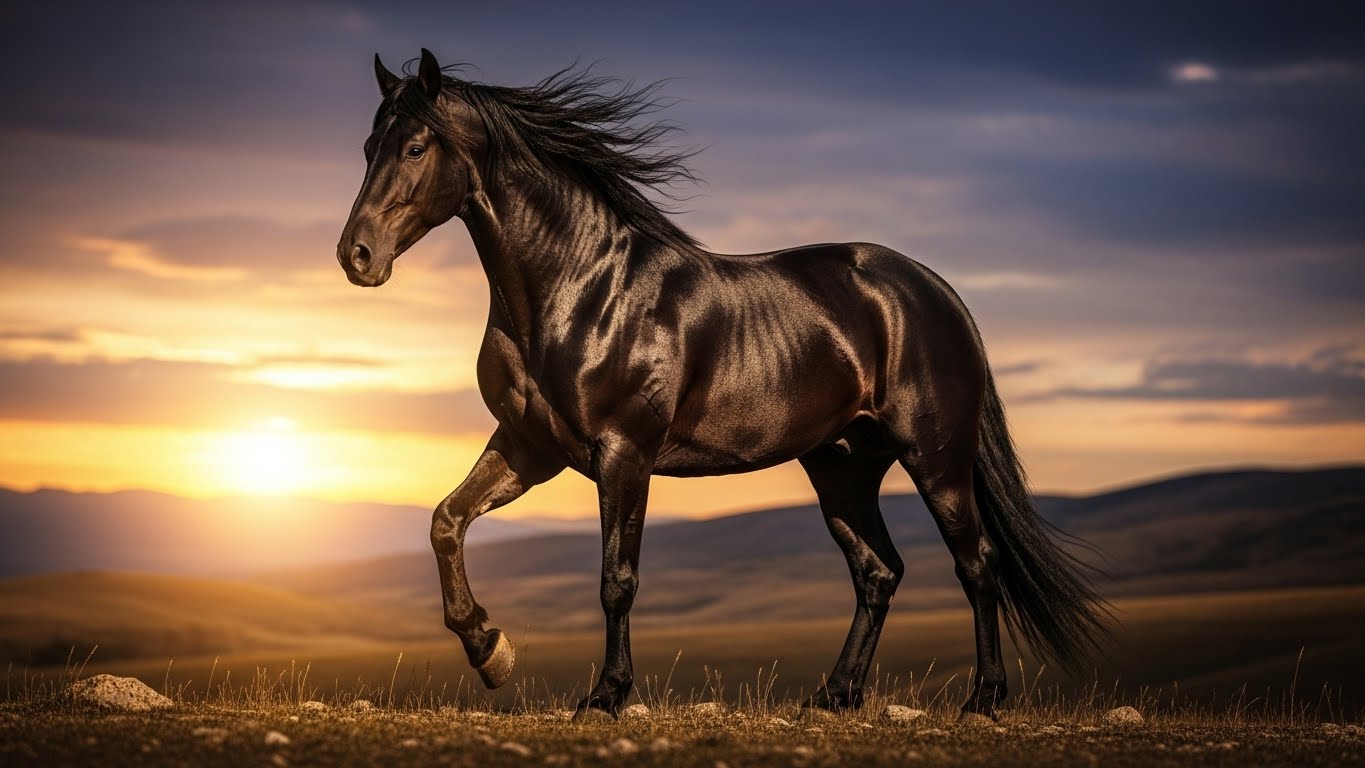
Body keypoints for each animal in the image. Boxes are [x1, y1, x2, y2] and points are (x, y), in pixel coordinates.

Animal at [336, 48, 1108, 721]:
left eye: (416, 148)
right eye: (369, 146)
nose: (356, 256)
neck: (579, 288)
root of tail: (933, 290)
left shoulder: (624, 454)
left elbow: (617, 579)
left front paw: (605, 695)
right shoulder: (532, 446)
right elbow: (446, 520)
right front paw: (490, 651)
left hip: (936, 458)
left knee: (976, 565)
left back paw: (982, 700)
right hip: (842, 467)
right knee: (878, 571)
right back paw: (834, 696)